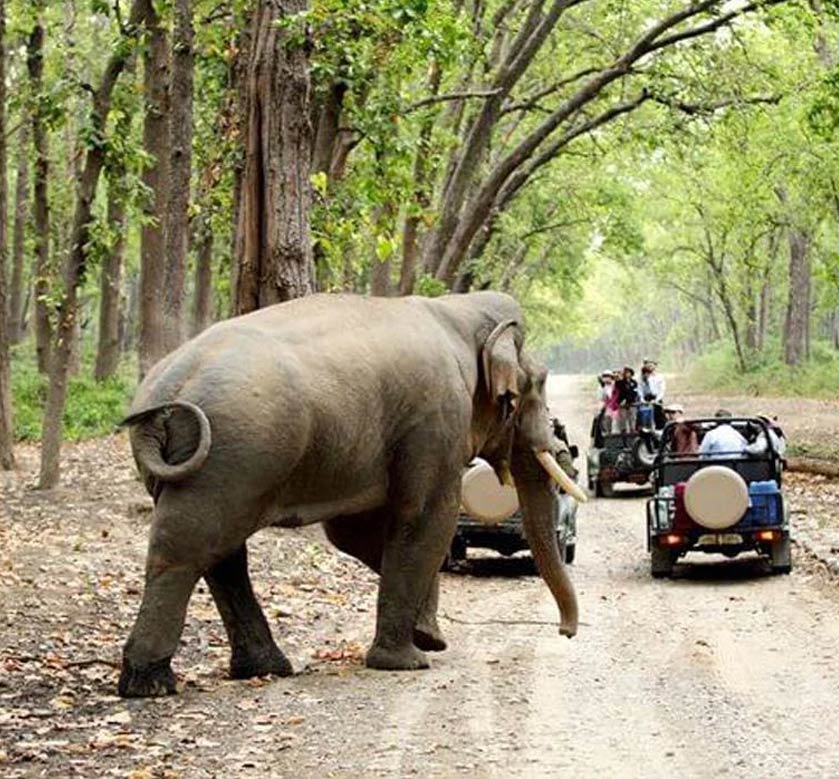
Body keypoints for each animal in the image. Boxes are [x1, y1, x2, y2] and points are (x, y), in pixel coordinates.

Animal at [116, 290, 576, 696]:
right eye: (538, 384)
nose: (566, 632)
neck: (456, 310)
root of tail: (167, 391)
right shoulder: (437, 418)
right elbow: (428, 517)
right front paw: (409, 659)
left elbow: (354, 534)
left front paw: (429, 636)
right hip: (234, 458)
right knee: (188, 550)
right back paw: (150, 683)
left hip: (216, 466)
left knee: (220, 553)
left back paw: (264, 669)